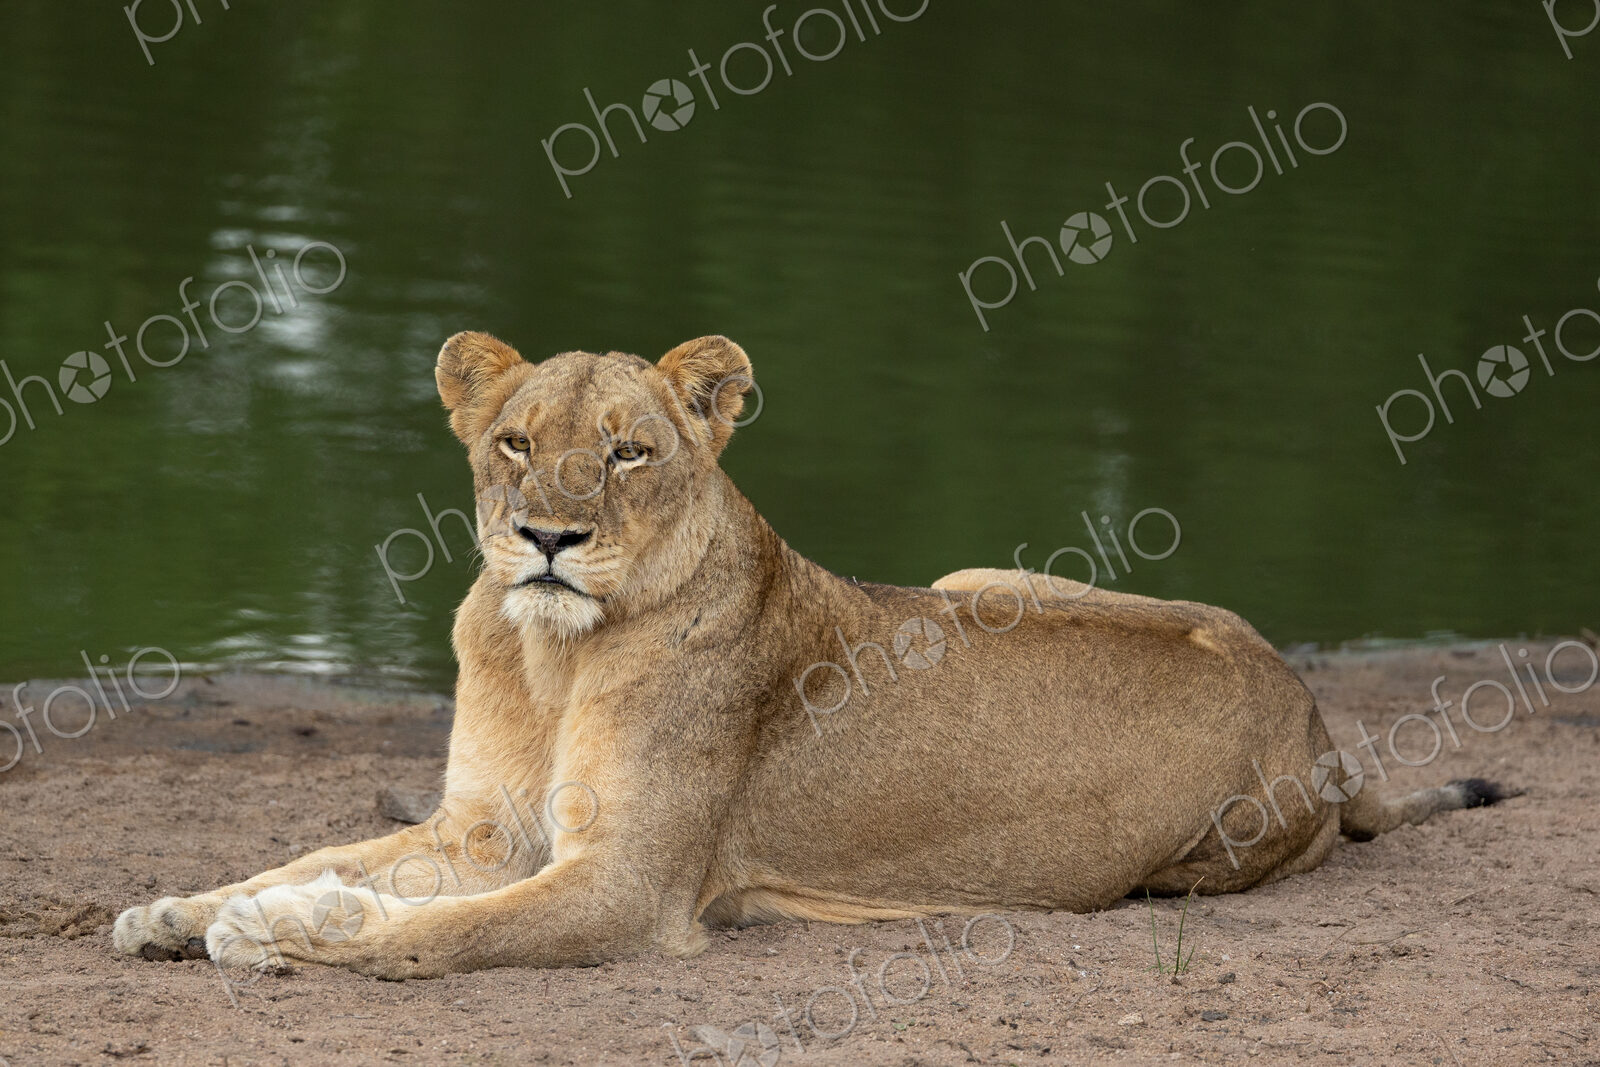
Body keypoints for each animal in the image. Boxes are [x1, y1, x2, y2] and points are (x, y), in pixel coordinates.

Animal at [113, 332, 1511, 978]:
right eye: (515, 441)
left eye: (627, 451)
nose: (548, 538)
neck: (550, 653)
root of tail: (1321, 724)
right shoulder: (485, 826)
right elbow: (316, 855)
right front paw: (185, 905)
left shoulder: (624, 887)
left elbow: (437, 931)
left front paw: (286, 932)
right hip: (972, 580)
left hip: (1181, 865)